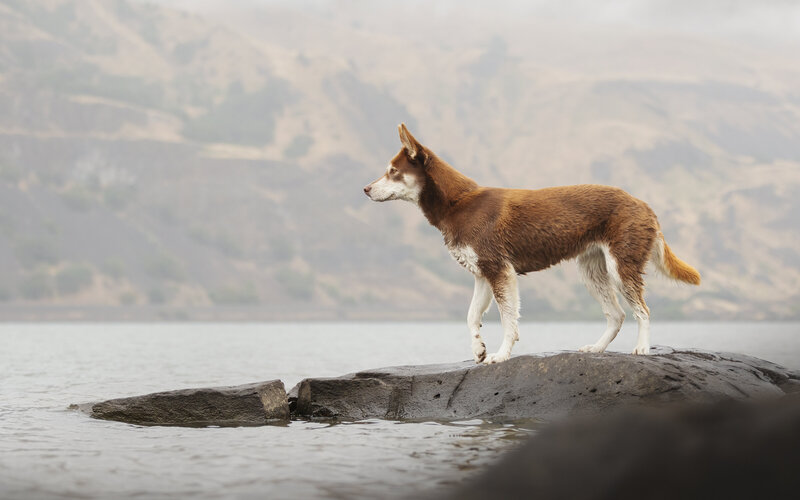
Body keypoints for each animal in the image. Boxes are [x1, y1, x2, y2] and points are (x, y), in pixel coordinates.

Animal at [362, 124, 700, 364]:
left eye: (392, 172)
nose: (365, 189)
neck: (459, 203)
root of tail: (644, 204)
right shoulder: (483, 275)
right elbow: (472, 316)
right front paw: (478, 349)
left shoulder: (501, 272)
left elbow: (508, 321)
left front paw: (500, 355)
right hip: (591, 272)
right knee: (617, 315)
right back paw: (596, 348)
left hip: (622, 267)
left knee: (643, 310)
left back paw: (642, 347)